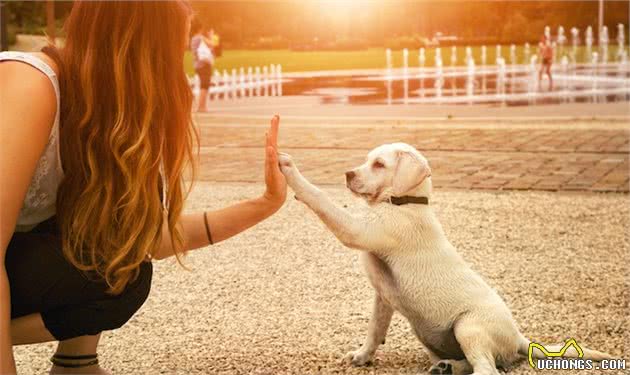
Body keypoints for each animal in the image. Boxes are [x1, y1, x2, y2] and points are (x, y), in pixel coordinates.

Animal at [278, 143, 616, 375]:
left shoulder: (356, 229)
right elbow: (375, 330)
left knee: (488, 369)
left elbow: (320, 198)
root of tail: (519, 337)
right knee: (471, 363)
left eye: (379, 164)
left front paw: (289, 168)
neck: (406, 203)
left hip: (468, 326)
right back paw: (446, 367)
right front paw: (362, 356)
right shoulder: (382, 297)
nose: (348, 175)